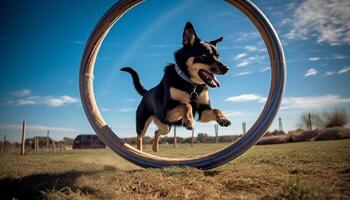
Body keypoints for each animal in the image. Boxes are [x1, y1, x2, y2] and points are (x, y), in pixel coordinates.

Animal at [121, 21, 231, 152]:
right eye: (204, 55)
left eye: (217, 55)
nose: (226, 68)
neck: (190, 84)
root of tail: (146, 92)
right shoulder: (169, 110)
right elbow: (186, 105)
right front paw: (189, 121)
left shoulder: (203, 111)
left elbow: (216, 110)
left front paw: (223, 119)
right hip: (144, 123)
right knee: (139, 137)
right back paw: (140, 151)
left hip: (166, 126)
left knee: (157, 132)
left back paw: (155, 148)